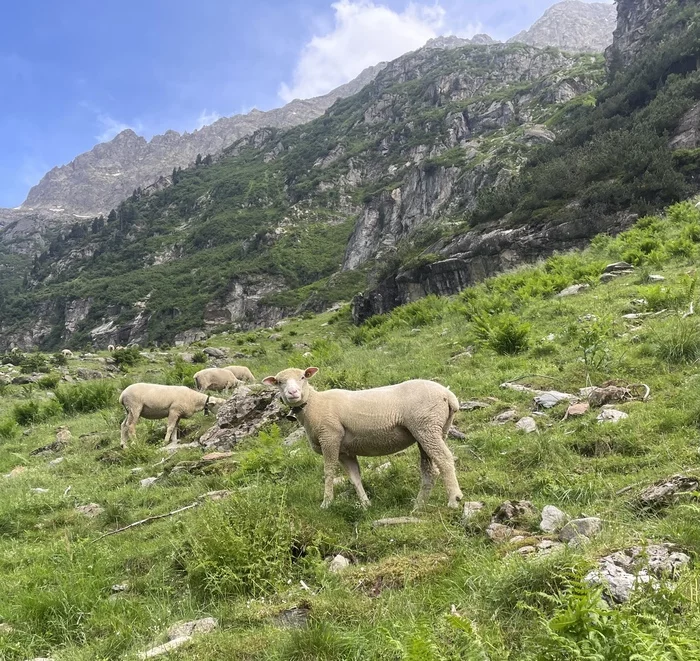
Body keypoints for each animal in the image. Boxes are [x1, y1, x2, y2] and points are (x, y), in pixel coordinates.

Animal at [262, 366, 464, 510]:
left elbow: (328, 472)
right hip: (433, 430)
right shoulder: (345, 451)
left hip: (426, 427)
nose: (293, 393)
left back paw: (454, 499)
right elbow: (354, 477)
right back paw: (418, 505)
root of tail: (449, 396)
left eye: (303, 377)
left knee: (444, 460)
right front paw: (366, 504)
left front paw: (326, 503)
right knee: (429, 469)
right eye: (279, 382)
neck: (314, 404)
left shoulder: (330, 437)